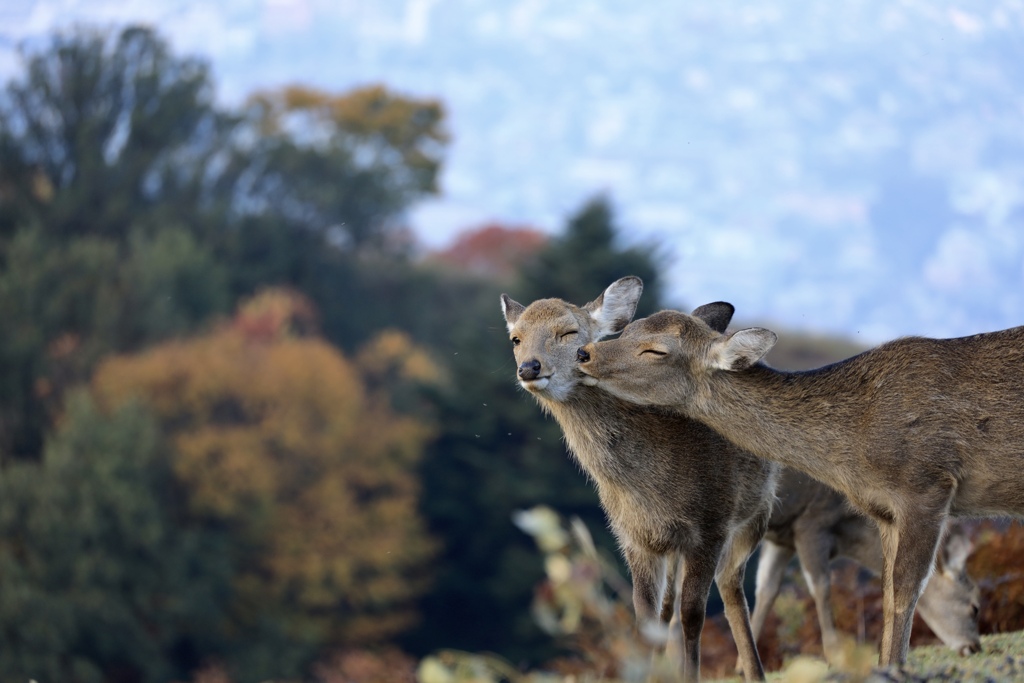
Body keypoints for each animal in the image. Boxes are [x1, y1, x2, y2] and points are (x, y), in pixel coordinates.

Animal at [501, 274, 774, 679]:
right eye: (516, 338)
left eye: (569, 331)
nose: (530, 368)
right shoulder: (635, 537)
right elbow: (646, 618)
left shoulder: (712, 524)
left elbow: (693, 615)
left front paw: (690, 675)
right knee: (669, 608)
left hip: (757, 513)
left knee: (732, 589)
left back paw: (755, 672)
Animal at [745, 471, 983, 671]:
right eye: (974, 607)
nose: (974, 647)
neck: (846, 536)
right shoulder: (811, 522)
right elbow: (821, 587)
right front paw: (833, 656)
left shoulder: (782, 539)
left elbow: (766, 590)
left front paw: (743, 667)